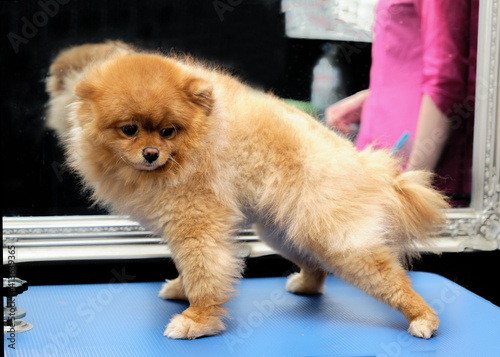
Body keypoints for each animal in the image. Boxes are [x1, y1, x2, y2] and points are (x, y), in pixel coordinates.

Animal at [47, 41, 448, 340]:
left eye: (168, 131)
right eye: (129, 129)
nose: (151, 154)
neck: (189, 149)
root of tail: (366, 169)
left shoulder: (196, 222)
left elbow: (203, 271)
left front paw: (197, 319)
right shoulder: (182, 225)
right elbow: (190, 267)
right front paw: (181, 289)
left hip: (337, 237)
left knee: (388, 277)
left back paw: (422, 317)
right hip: (284, 233)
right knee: (317, 267)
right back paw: (306, 285)